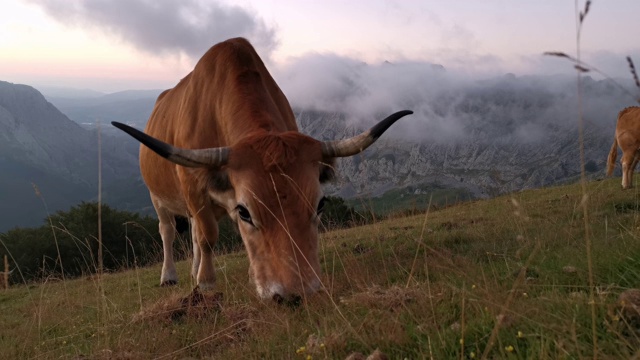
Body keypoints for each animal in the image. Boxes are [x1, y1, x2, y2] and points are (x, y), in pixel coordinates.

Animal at [112, 37, 412, 300]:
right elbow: (208, 235)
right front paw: (206, 283)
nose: (295, 294)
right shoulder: (195, 187)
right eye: (246, 211)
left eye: (320, 205)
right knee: (169, 231)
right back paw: (170, 275)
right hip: (159, 198)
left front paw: (248, 276)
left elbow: (211, 237)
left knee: (194, 234)